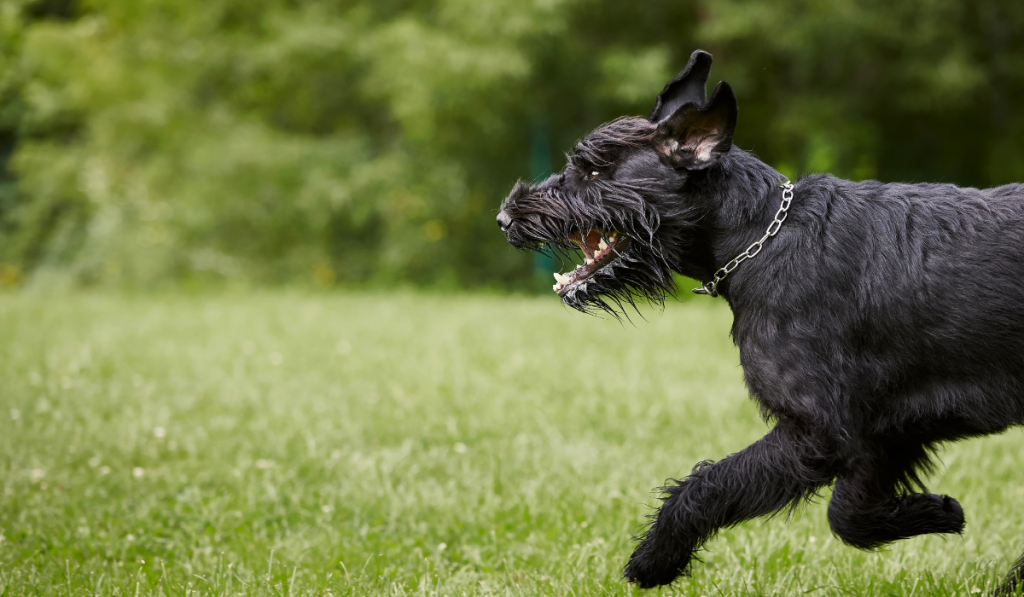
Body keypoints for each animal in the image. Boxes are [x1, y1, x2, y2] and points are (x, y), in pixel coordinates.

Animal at [495, 50, 1024, 593]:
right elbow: (849, 516)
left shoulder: (819, 431)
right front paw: (937, 512)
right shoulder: (889, 428)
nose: (505, 218)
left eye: (597, 171)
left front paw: (654, 560)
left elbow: (710, 485)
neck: (761, 235)